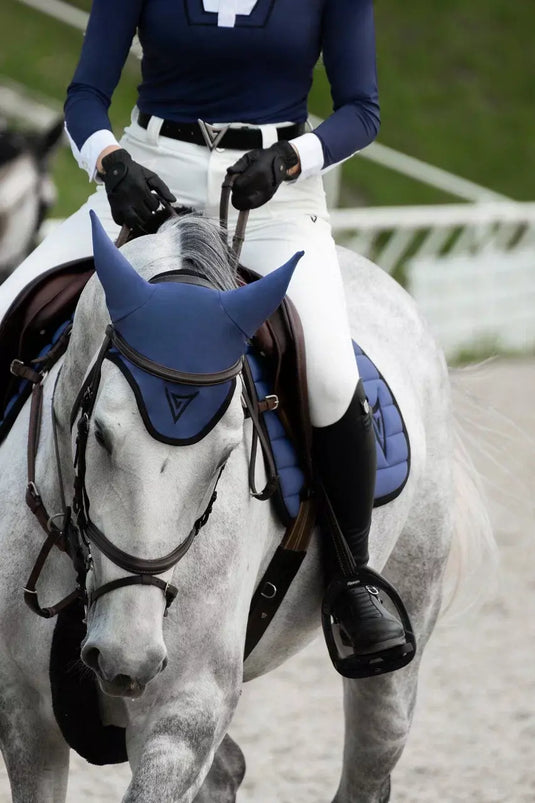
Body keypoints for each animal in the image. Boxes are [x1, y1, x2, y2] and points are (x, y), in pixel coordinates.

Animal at [0, 209, 493, 802]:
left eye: (228, 453)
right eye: (100, 434)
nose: (128, 656)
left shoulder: (184, 715)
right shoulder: (24, 716)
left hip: (401, 645)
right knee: (229, 770)